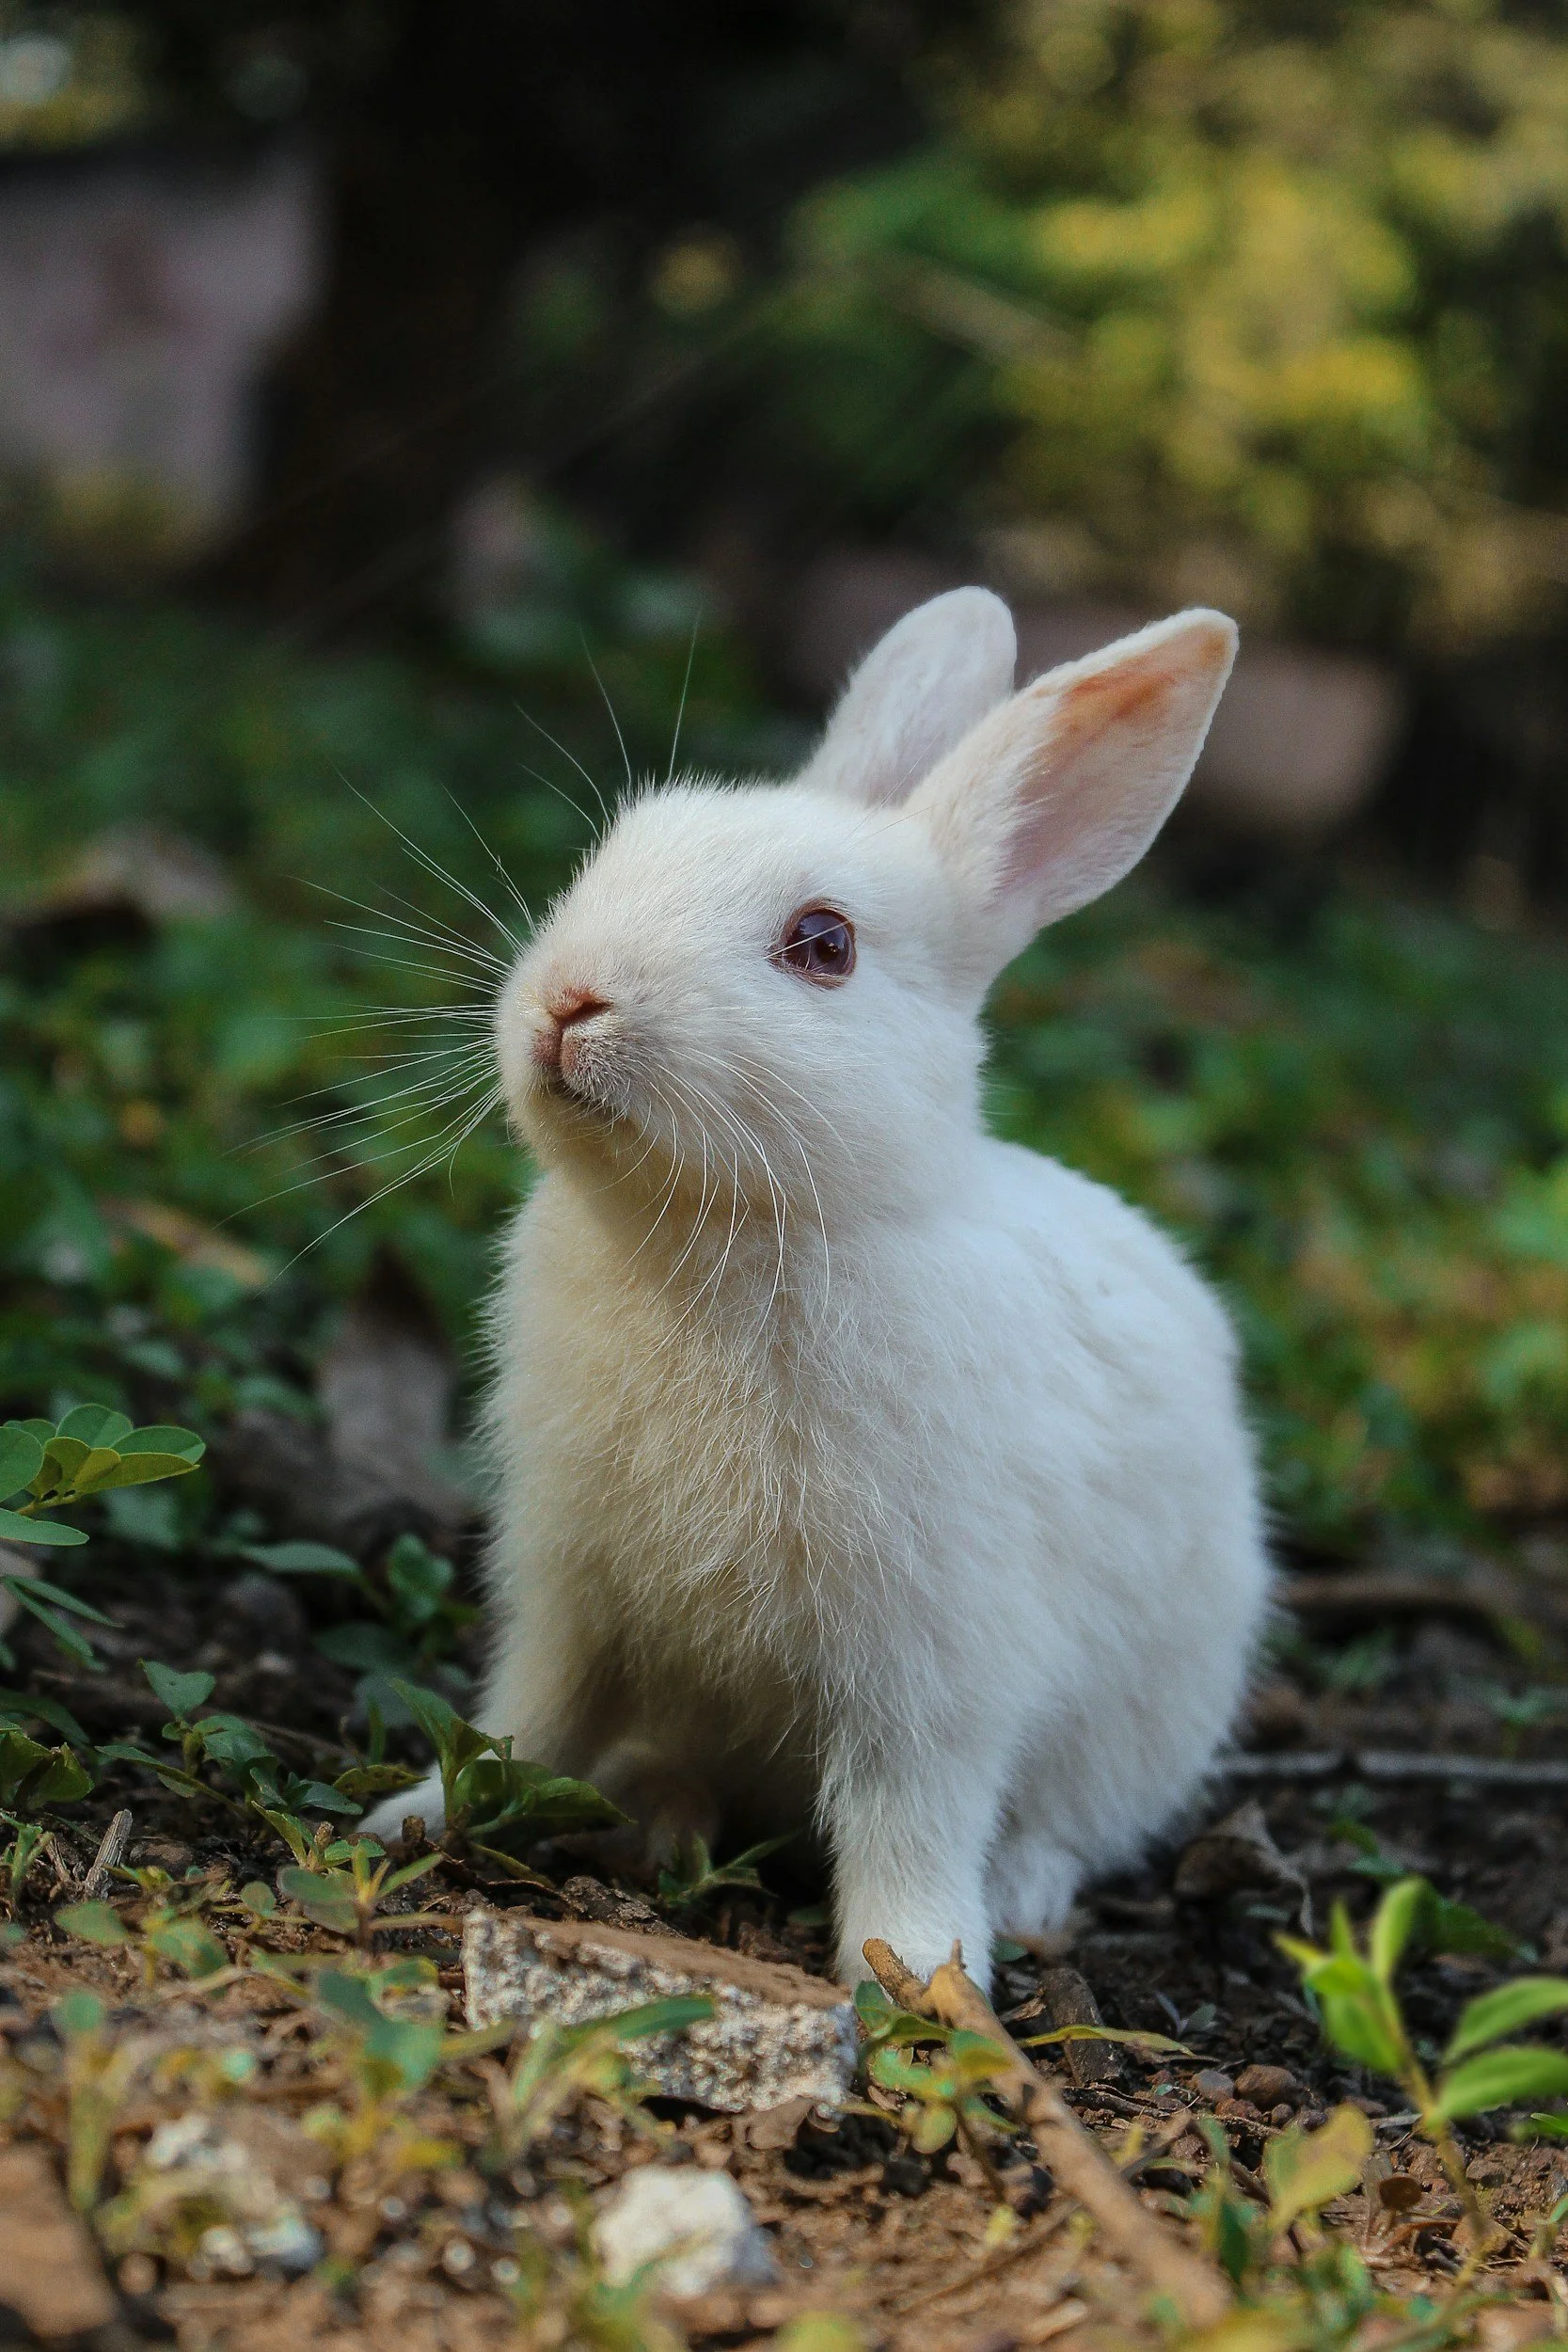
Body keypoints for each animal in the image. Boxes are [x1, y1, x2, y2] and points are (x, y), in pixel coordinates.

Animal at [366, 589, 1272, 1988]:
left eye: (823, 945)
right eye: (613, 852)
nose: (569, 1002)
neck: (725, 1233)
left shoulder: (931, 1658)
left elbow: (910, 1813)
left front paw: (917, 1976)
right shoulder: (568, 1587)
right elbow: (527, 1716)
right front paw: (417, 1814)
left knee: (1065, 1823)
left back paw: (1018, 1898)